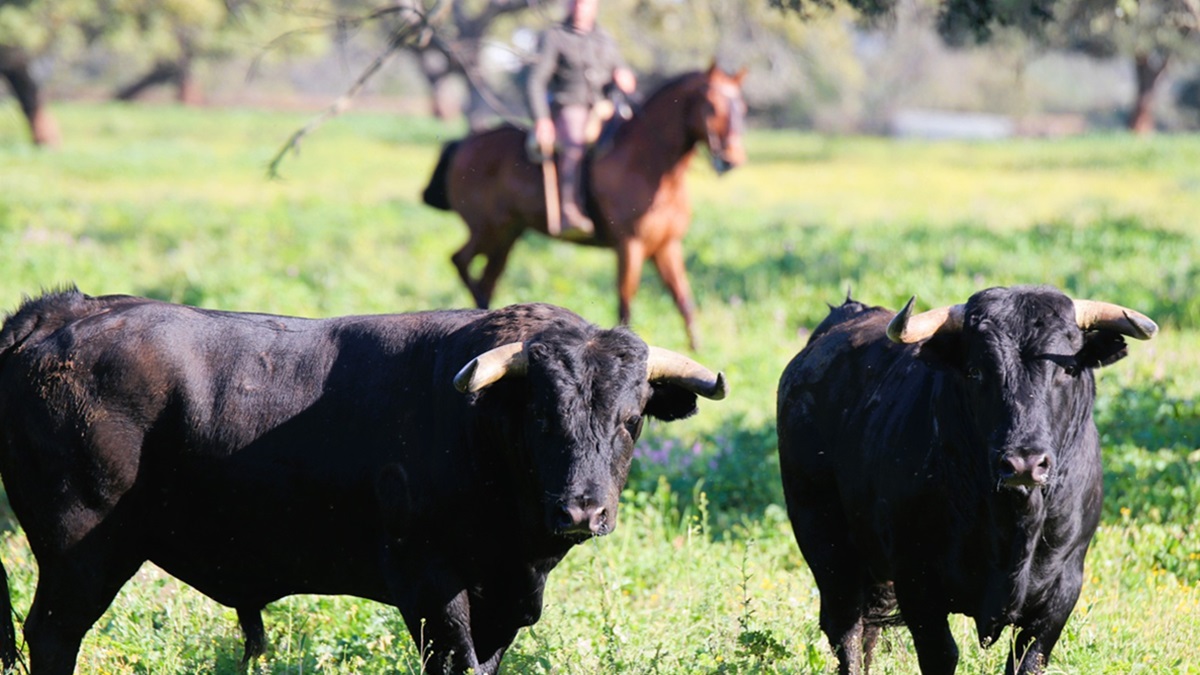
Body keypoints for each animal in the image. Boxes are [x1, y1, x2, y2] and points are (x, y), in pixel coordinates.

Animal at [420, 63, 739, 348]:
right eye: (711, 106)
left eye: (741, 108)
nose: (731, 159)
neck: (649, 165)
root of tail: (466, 143)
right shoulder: (630, 246)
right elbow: (626, 301)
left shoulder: (666, 246)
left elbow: (683, 299)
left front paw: (697, 350)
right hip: (489, 230)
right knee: (460, 260)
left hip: (507, 236)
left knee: (485, 278)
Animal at [772, 284, 1156, 672]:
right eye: (975, 371)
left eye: (1069, 368)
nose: (1023, 464)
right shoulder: (917, 584)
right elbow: (942, 654)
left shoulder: (1062, 591)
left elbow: (1027, 659)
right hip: (825, 541)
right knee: (846, 629)